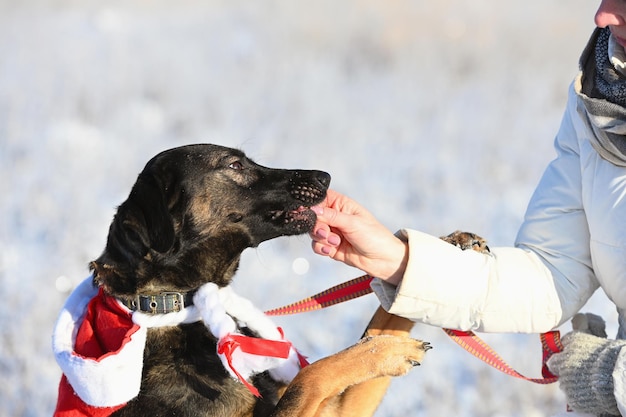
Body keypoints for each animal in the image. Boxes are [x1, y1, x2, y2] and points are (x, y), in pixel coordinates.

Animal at [53, 145, 428, 416]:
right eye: (234, 165)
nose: (324, 177)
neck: (180, 306)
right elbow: (311, 376)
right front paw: (390, 350)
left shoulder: (339, 409)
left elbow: (380, 326)